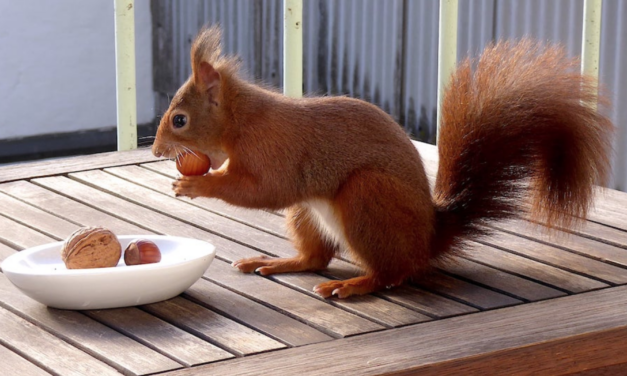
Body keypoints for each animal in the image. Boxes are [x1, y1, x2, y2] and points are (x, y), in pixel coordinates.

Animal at [152, 26, 612, 298]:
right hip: (307, 213)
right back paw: (275, 261)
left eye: (180, 120)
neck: (243, 121)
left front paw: (197, 184)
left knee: (393, 273)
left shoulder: (275, 150)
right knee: (316, 258)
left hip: (367, 197)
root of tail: (428, 238)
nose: (156, 151)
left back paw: (355, 284)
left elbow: (263, 189)